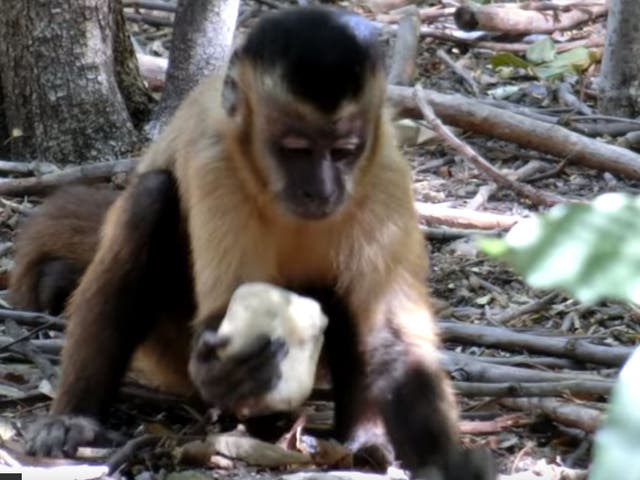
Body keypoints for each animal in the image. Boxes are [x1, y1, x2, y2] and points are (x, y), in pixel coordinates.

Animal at [12, 7, 498, 480]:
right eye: (296, 150)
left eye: (343, 152)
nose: (322, 190)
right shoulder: (217, 160)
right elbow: (224, 309)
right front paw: (234, 369)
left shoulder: (384, 176)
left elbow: (393, 339)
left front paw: (443, 459)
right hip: (167, 350)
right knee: (150, 200)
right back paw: (79, 415)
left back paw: (360, 441)